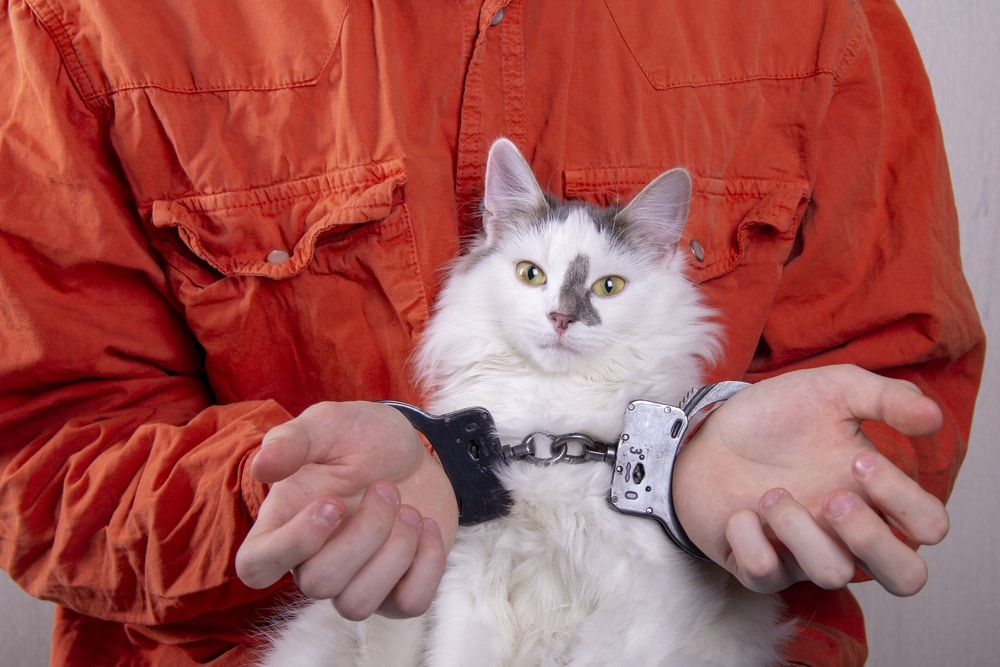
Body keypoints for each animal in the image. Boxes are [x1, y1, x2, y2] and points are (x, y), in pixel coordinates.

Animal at [262, 138, 792, 664]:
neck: (551, 438)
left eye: (609, 286)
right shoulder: (470, 579)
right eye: (531, 275)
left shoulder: (641, 599)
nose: (560, 318)